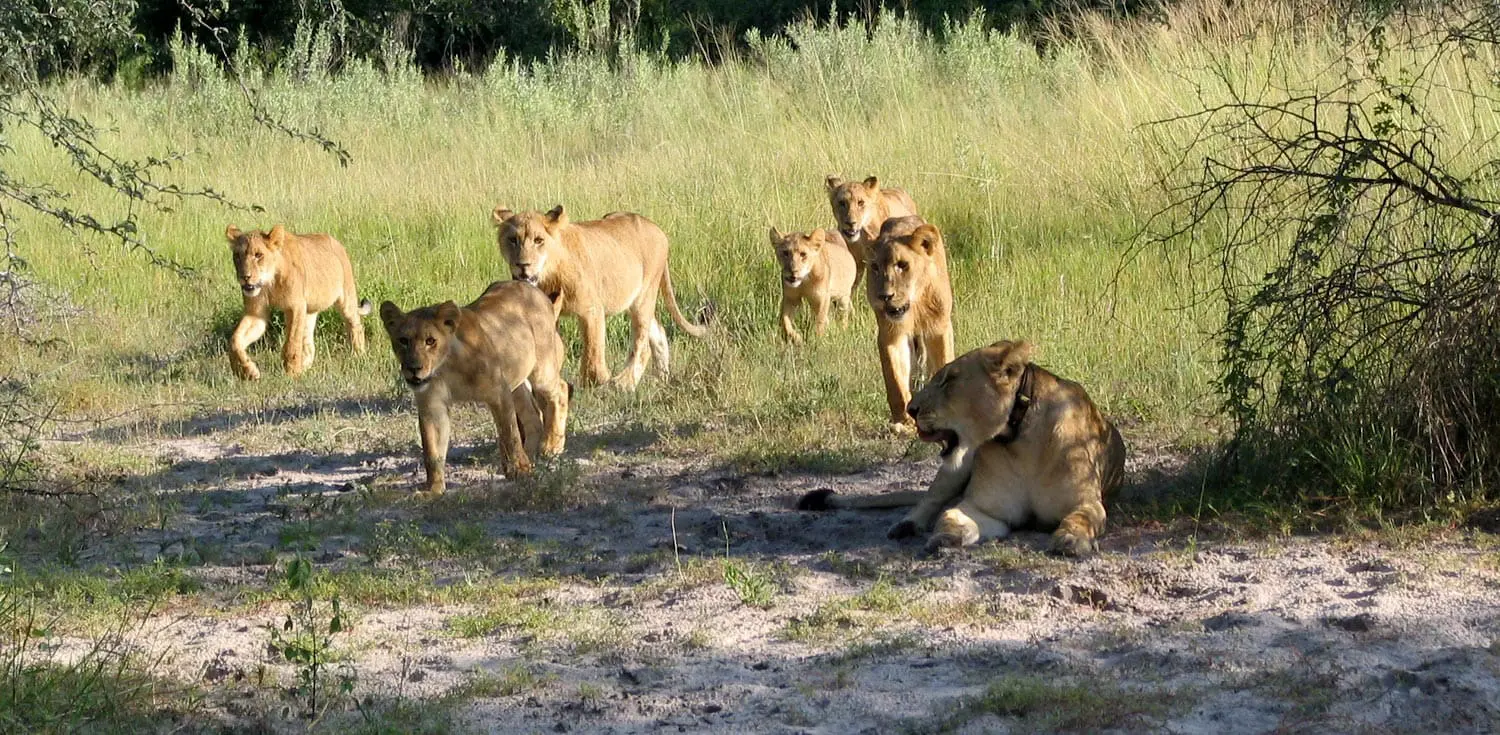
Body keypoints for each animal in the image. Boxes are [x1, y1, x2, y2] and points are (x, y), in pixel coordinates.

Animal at [225, 224, 370, 380]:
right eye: (237, 256)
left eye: (258, 255)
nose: (244, 277)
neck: (270, 282)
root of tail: (338, 243)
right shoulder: (255, 313)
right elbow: (235, 340)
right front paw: (246, 371)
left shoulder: (295, 306)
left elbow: (292, 343)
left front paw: (291, 374)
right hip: (310, 311)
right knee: (309, 344)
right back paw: (304, 368)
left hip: (346, 297)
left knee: (355, 324)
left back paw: (358, 356)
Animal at [380, 280, 570, 495]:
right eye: (403, 340)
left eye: (430, 341)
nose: (414, 368)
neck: (446, 366)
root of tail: (538, 293)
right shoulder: (431, 405)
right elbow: (432, 451)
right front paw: (433, 489)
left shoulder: (498, 392)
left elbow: (509, 434)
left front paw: (518, 470)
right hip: (516, 382)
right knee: (533, 417)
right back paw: (531, 455)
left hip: (542, 371)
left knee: (560, 391)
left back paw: (551, 446)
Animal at [492, 206, 707, 390]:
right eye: (512, 240)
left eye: (538, 240)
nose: (523, 265)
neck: (549, 274)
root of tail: (657, 229)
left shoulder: (592, 308)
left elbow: (592, 351)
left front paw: (597, 382)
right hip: (636, 301)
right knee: (658, 331)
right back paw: (661, 378)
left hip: (645, 294)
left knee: (642, 344)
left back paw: (624, 383)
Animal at [799, 340, 1127, 556]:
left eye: (949, 380)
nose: (911, 409)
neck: (1020, 442)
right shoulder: (984, 508)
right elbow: (949, 514)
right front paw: (945, 536)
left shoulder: (1087, 501)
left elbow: (1080, 518)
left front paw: (1070, 540)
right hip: (955, 469)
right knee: (928, 501)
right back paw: (906, 526)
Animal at [866, 216, 954, 427]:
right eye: (875, 267)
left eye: (902, 265)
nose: (885, 296)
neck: (915, 304)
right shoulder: (890, 332)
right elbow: (895, 379)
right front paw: (903, 421)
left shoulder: (939, 327)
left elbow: (943, 362)